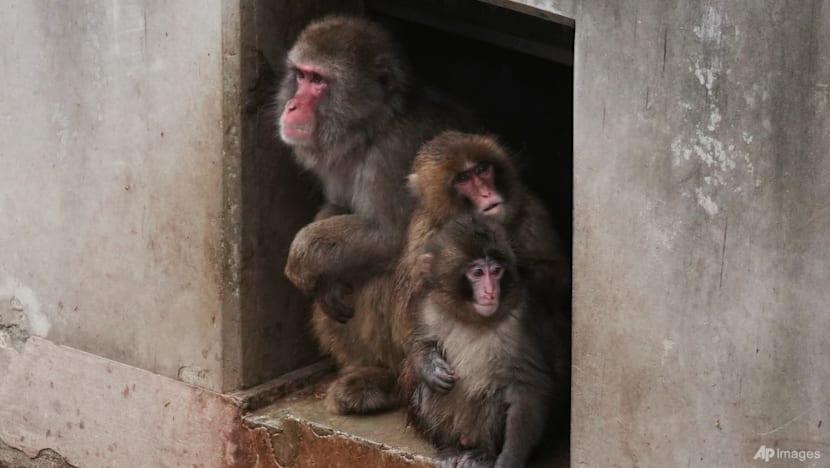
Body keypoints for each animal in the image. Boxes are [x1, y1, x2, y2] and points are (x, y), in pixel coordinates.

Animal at [276, 16, 479, 414]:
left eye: (318, 81)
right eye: (302, 75)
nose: (291, 105)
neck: (373, 128)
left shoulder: (395, 154)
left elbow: (392, 236)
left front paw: (303, 257)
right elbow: (338, 208)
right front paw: (326, 279)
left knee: (386, 274)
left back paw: (386, 381)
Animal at [401, 214, 555, 468]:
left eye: (496, 271)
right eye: (478, 273)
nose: (491, 292)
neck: (472, 318)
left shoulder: (519, 323)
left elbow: (527, 387)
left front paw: (509, 459)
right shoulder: (430, 307)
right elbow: (420, 344)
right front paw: (429, 365)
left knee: (495, 393)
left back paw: (482, 453)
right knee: (430, 390)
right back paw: (451, 448)